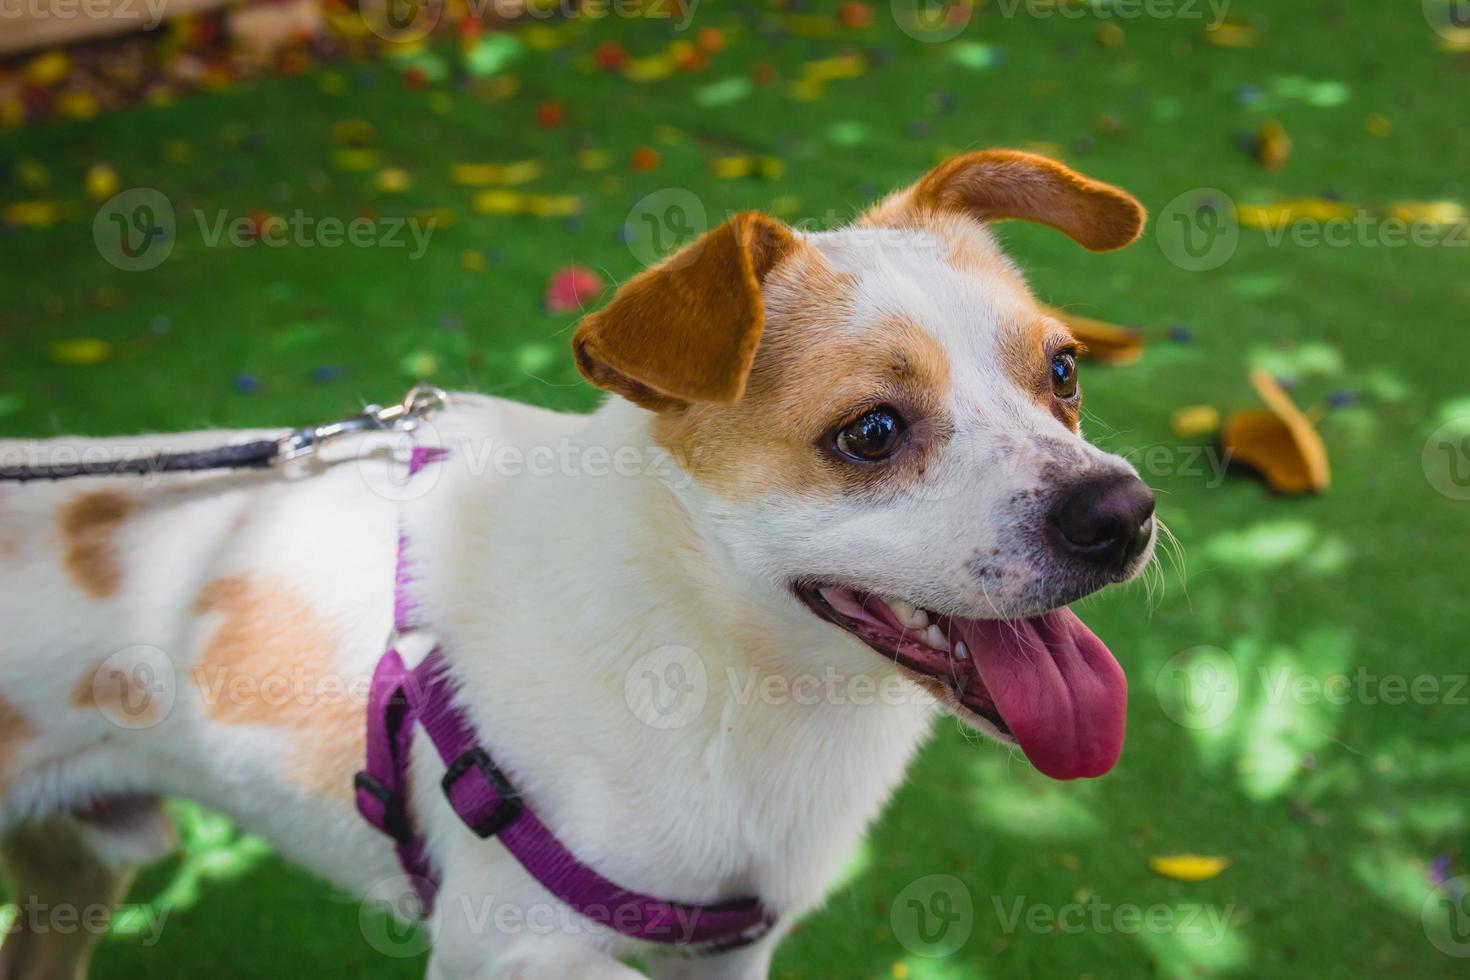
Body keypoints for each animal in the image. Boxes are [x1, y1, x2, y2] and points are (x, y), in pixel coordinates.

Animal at [0, 149, 1158, 975]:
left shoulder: (727, 950)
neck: (729, 670)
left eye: (1063, 371)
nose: (1122, 513)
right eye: (871, 432)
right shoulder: (500, 942)